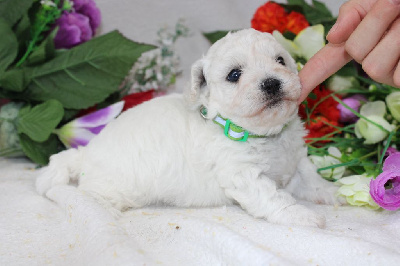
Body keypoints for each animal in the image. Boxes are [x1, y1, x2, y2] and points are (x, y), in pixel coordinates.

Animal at [36, 29, 338, 229]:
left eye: (280, 60)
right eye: (234, 75)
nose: (272, 83)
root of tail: (85, 154)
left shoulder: (295, 161)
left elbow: (311, 180)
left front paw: (332, 192)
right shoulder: (242, 174)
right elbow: (274, 197)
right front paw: (302, 216)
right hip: (110, 187)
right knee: (91, 196)